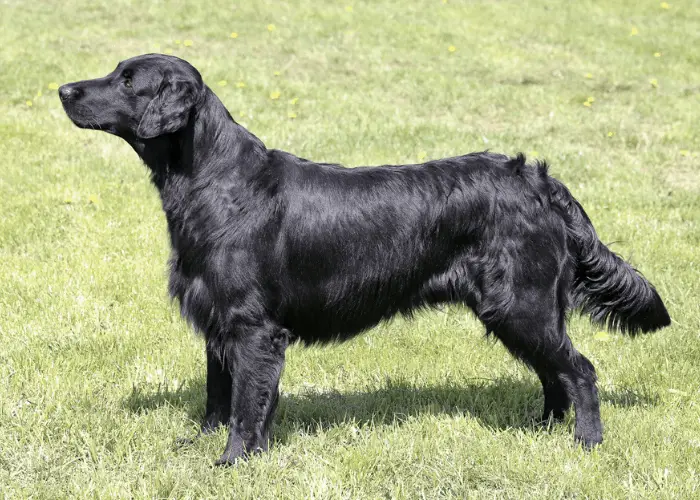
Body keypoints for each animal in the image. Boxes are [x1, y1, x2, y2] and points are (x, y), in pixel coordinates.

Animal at [61, 54, 672, 464]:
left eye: (127, 80)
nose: (64, 88)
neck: (214, 179)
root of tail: (540, 180)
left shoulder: (253, 328)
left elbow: (245, 403)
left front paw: (233, 461)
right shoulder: (218, 324)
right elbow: (219, 397)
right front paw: (204, 444)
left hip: (521, 304)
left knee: (580, 371)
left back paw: (585, 442)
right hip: (518, 311)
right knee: (554, 374)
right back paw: (541, 430)